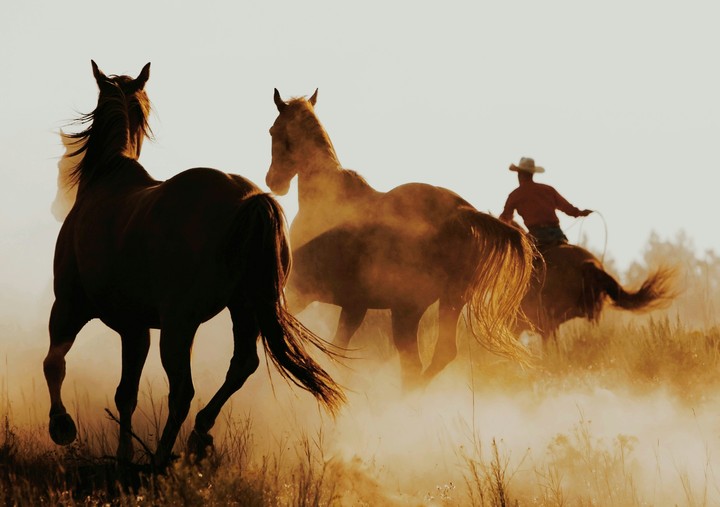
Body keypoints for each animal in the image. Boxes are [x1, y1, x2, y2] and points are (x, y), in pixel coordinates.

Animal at [43, 62, 344, 468]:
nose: (56, 204)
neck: (106, 181)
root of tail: (249, 200)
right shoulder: (134, 328)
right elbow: (125, 393)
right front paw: (123, 455)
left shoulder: (69, 307)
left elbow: (54, 363)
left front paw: (62, 425)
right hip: (243, 309)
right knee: (240, 366)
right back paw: (199, 435)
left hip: (179, 324)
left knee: (183, 390)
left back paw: (161, 457)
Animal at [265, 89, 536, 388]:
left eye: (273, 130)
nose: (274, 181)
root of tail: (463, 213)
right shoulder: (354, 305)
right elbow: (338, 347)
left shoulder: (302, 290)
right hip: (448, 301)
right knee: (438, 356)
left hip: (407, 310)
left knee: (414, 365)